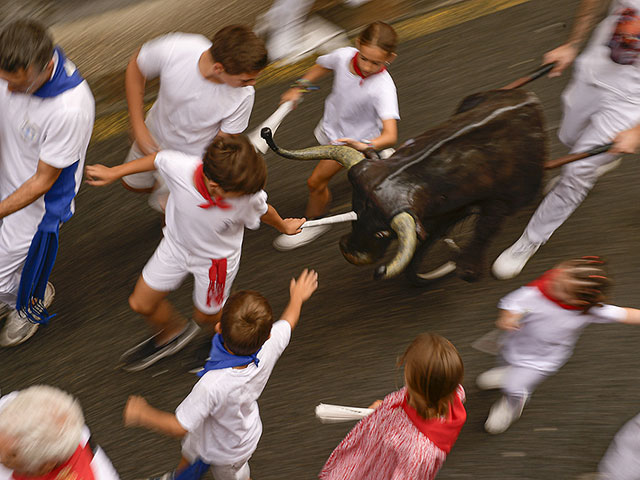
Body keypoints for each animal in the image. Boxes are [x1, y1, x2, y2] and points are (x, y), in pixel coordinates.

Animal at [260, 89, 544, 282]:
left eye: (383, 233)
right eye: (355, 212)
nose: (350, 253)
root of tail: (527, 95)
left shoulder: (499, 203)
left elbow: (482, 232)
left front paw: (466, 268)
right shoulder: (435, 217)